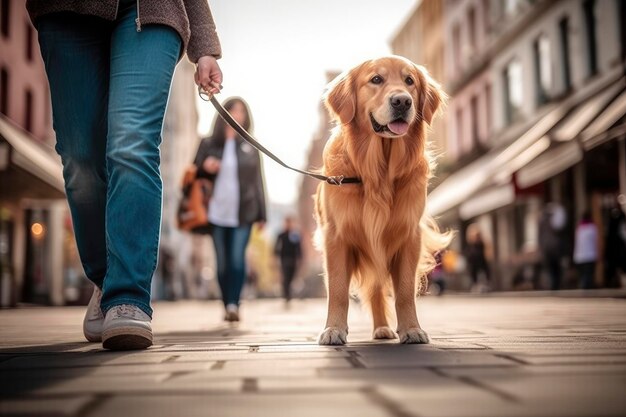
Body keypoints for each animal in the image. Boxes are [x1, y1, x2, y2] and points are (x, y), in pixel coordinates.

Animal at [314, 55, 450, 344]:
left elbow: (405, 292)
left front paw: (411, 328)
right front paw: (333, 329)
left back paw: (382, 329)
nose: (402, 101)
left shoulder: (409, 236)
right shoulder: (336, 237)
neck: (379, 173)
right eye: (376, 79)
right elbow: (338, 290)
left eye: (409, 81)